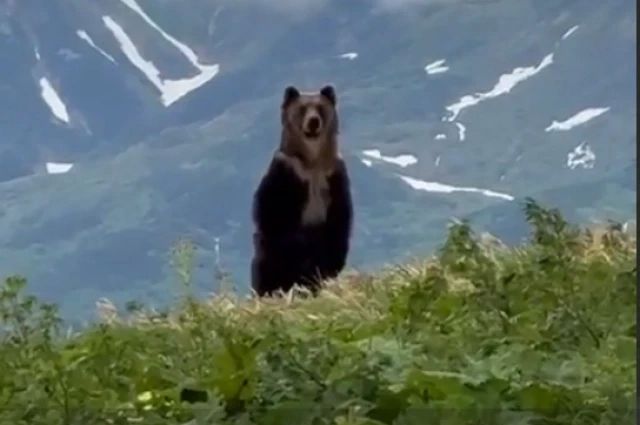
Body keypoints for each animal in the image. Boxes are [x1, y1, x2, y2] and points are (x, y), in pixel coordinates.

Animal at [250, 84, 353, 297]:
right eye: (302, 108)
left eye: (320, 107)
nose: (313, 121)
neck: (313, 163)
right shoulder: (285, 173)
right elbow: (271, 212)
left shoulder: (334, 176)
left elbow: (340, 219)